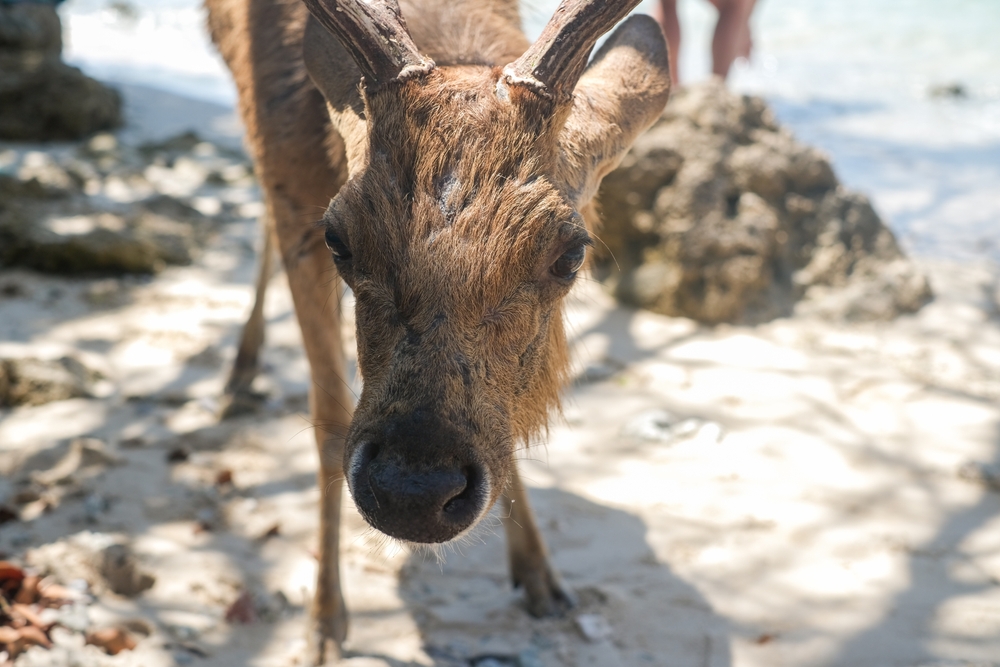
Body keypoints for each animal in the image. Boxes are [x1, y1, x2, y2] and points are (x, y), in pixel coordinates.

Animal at [204, 0, 671, 661]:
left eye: (571, 254)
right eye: (339, 238)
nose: (413, 491)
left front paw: (541, 575)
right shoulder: (289, 178)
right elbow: (328, 418)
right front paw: (324, 623)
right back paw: (241, 372)